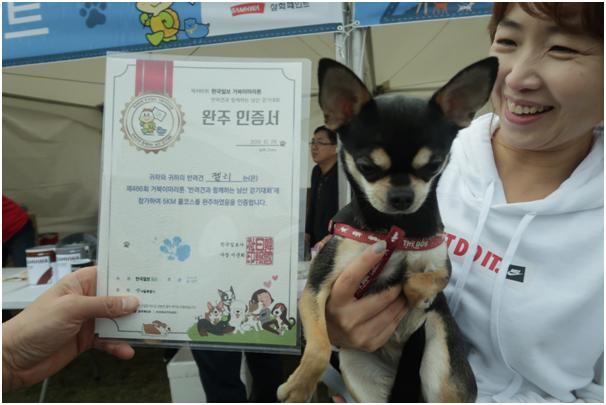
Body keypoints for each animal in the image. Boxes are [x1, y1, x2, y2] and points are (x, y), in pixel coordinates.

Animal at [280, 56, 498, 400]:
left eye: (433, 165)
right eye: (367, 167)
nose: (402, 196)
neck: (396, 230)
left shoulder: (441, 263)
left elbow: (426, 279)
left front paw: (415, 294)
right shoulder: (317, 286)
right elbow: (319, 347)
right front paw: (299, 388)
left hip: (441, 362)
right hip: (356, 366)